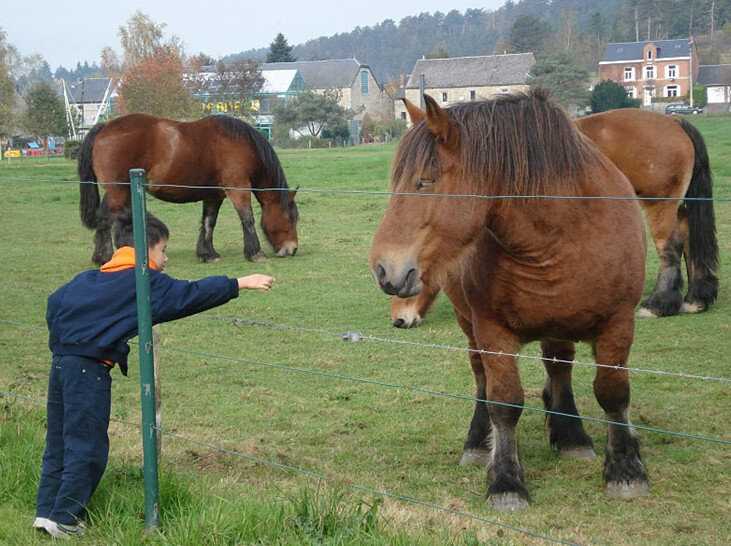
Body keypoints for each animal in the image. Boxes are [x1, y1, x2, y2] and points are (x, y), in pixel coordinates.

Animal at [78, 113, 300, 264]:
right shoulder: (238, 189)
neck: (242, 145)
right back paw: (106, 256)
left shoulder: (214, 196)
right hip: (117, 190)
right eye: (290, 218)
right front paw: (255, 253)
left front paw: (208, 253)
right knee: (107, 219)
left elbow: (209, 223)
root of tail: (105, 127)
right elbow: (248, 220)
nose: (292, 249)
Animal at [372, 91, 648, 508]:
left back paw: (571, 435)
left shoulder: (618, 325)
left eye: (426, 181)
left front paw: (626, 470)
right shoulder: (492, 332)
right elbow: (503, 401)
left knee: (559, 368)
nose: (384, 270)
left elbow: (613, 393)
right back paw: (478, 442)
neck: (564, 236)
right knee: (481, 378)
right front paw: (505, 480)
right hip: (470, 326)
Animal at [392, 107, 716, 328]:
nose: (399, 319)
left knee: (670, 246)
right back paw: (695, 298)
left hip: (660, 204)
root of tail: (673, 122)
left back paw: (660, 303)